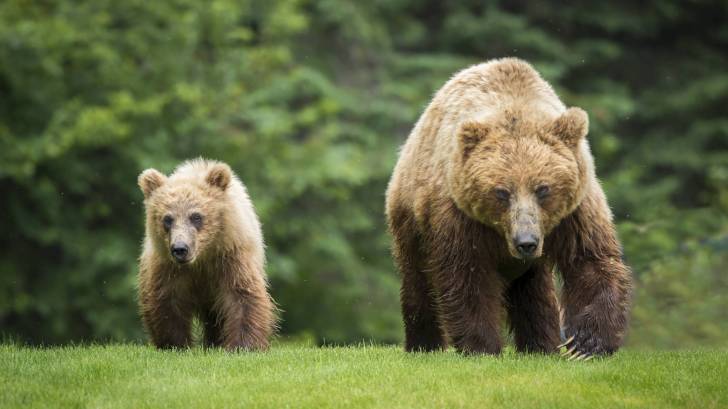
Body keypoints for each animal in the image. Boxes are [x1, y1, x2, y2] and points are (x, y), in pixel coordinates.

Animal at [137, 158, 277, 350]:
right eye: (167, 219)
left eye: (196, 216)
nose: (180, 249)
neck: (202, 257)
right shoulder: (168, 267)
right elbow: (168, 302)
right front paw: (175, 344)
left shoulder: (231, 257)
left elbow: (242, 295)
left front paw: (244, 345)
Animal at [385, 58, 632, 359]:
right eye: (502, 192)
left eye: (543, 188)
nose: (526, 242)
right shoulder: (459, 218)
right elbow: (467, 277)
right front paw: (481, 346)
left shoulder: (575, 212)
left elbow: (590, 260)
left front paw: (585, 343)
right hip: (411, 217)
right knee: (418, 281)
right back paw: (424, 344)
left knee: (535, 291)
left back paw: (541, 344)